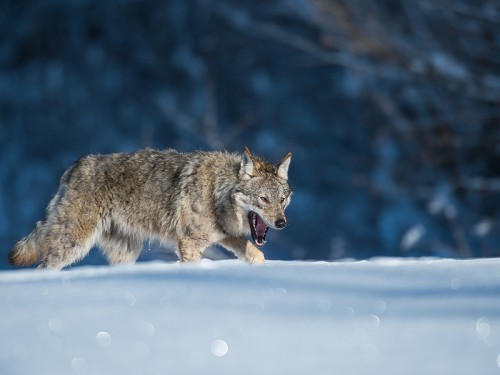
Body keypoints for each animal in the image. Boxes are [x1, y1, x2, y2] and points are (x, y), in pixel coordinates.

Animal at [8, 148, 292, 270]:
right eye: (264, 199)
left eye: (282, 199)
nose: (282, 223)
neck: (217, 193)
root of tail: (73, 168)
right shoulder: (189, 243)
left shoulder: (227, 237)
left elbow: (257, 255)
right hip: (72, 244)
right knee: (45, 267)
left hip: (126, 253)